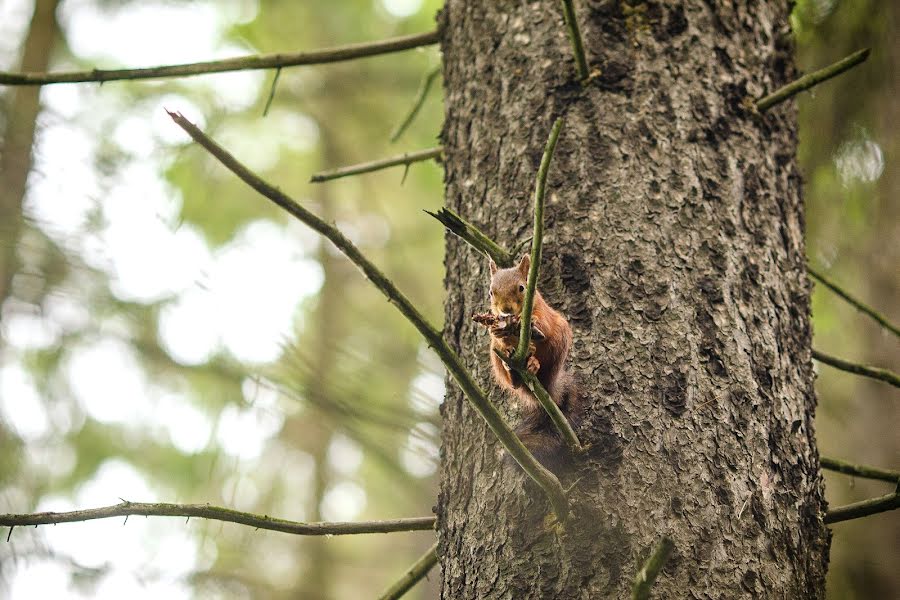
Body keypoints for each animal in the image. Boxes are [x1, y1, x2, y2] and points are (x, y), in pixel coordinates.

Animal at [482, 253, 580, 468]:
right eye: (491, 292)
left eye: (521, 287)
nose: (506, 310)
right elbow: (499, 337)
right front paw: (499, 332)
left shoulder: (541, 309)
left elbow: (542, 322)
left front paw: (533, 325)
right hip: (495, 356)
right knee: (513, 379)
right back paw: (512, 372)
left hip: (558, 342)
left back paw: (533, 364)